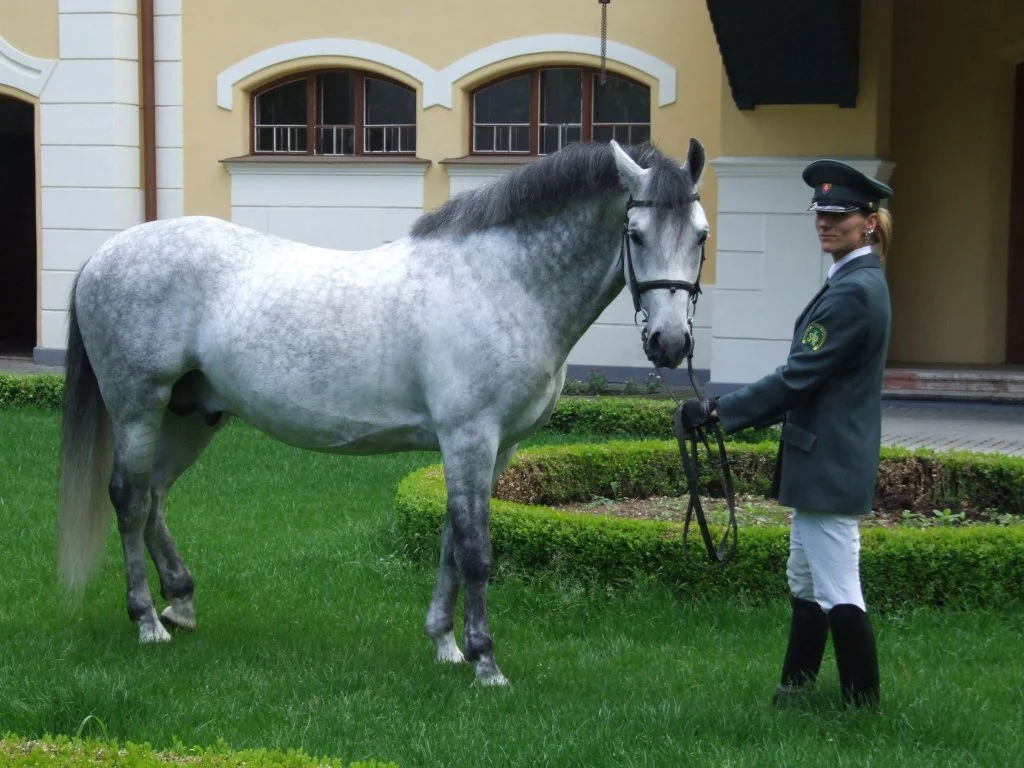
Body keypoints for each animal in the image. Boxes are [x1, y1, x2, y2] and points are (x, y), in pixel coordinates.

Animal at [59, 137, 708, 684]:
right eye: (635, 232)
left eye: (700, 235)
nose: (670, 343)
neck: (502, 282)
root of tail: (101, 256)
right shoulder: (469, 438)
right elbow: (475, 551)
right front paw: (486, 663)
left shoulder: (496, 448)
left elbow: (450, 542)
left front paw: (446, 644)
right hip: (139, 406)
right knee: (129, 500)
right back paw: (148, 623)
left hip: (191, 415)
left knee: (154, 498)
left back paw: (181, 603)